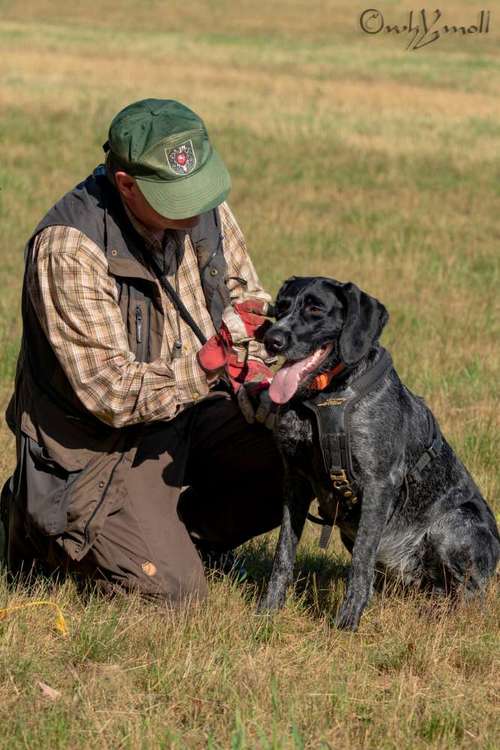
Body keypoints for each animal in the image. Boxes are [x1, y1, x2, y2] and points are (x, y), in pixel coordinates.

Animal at [260, 280, 498, 632]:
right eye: (282, 306)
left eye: (315, 308)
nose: (271, 339)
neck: (327, 395)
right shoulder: (295, 481)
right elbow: (283, 554)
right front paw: (268, 610)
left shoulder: (378, 485)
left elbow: (361, 563)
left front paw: (347, 621)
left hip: (454, 524)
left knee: (469, 596)